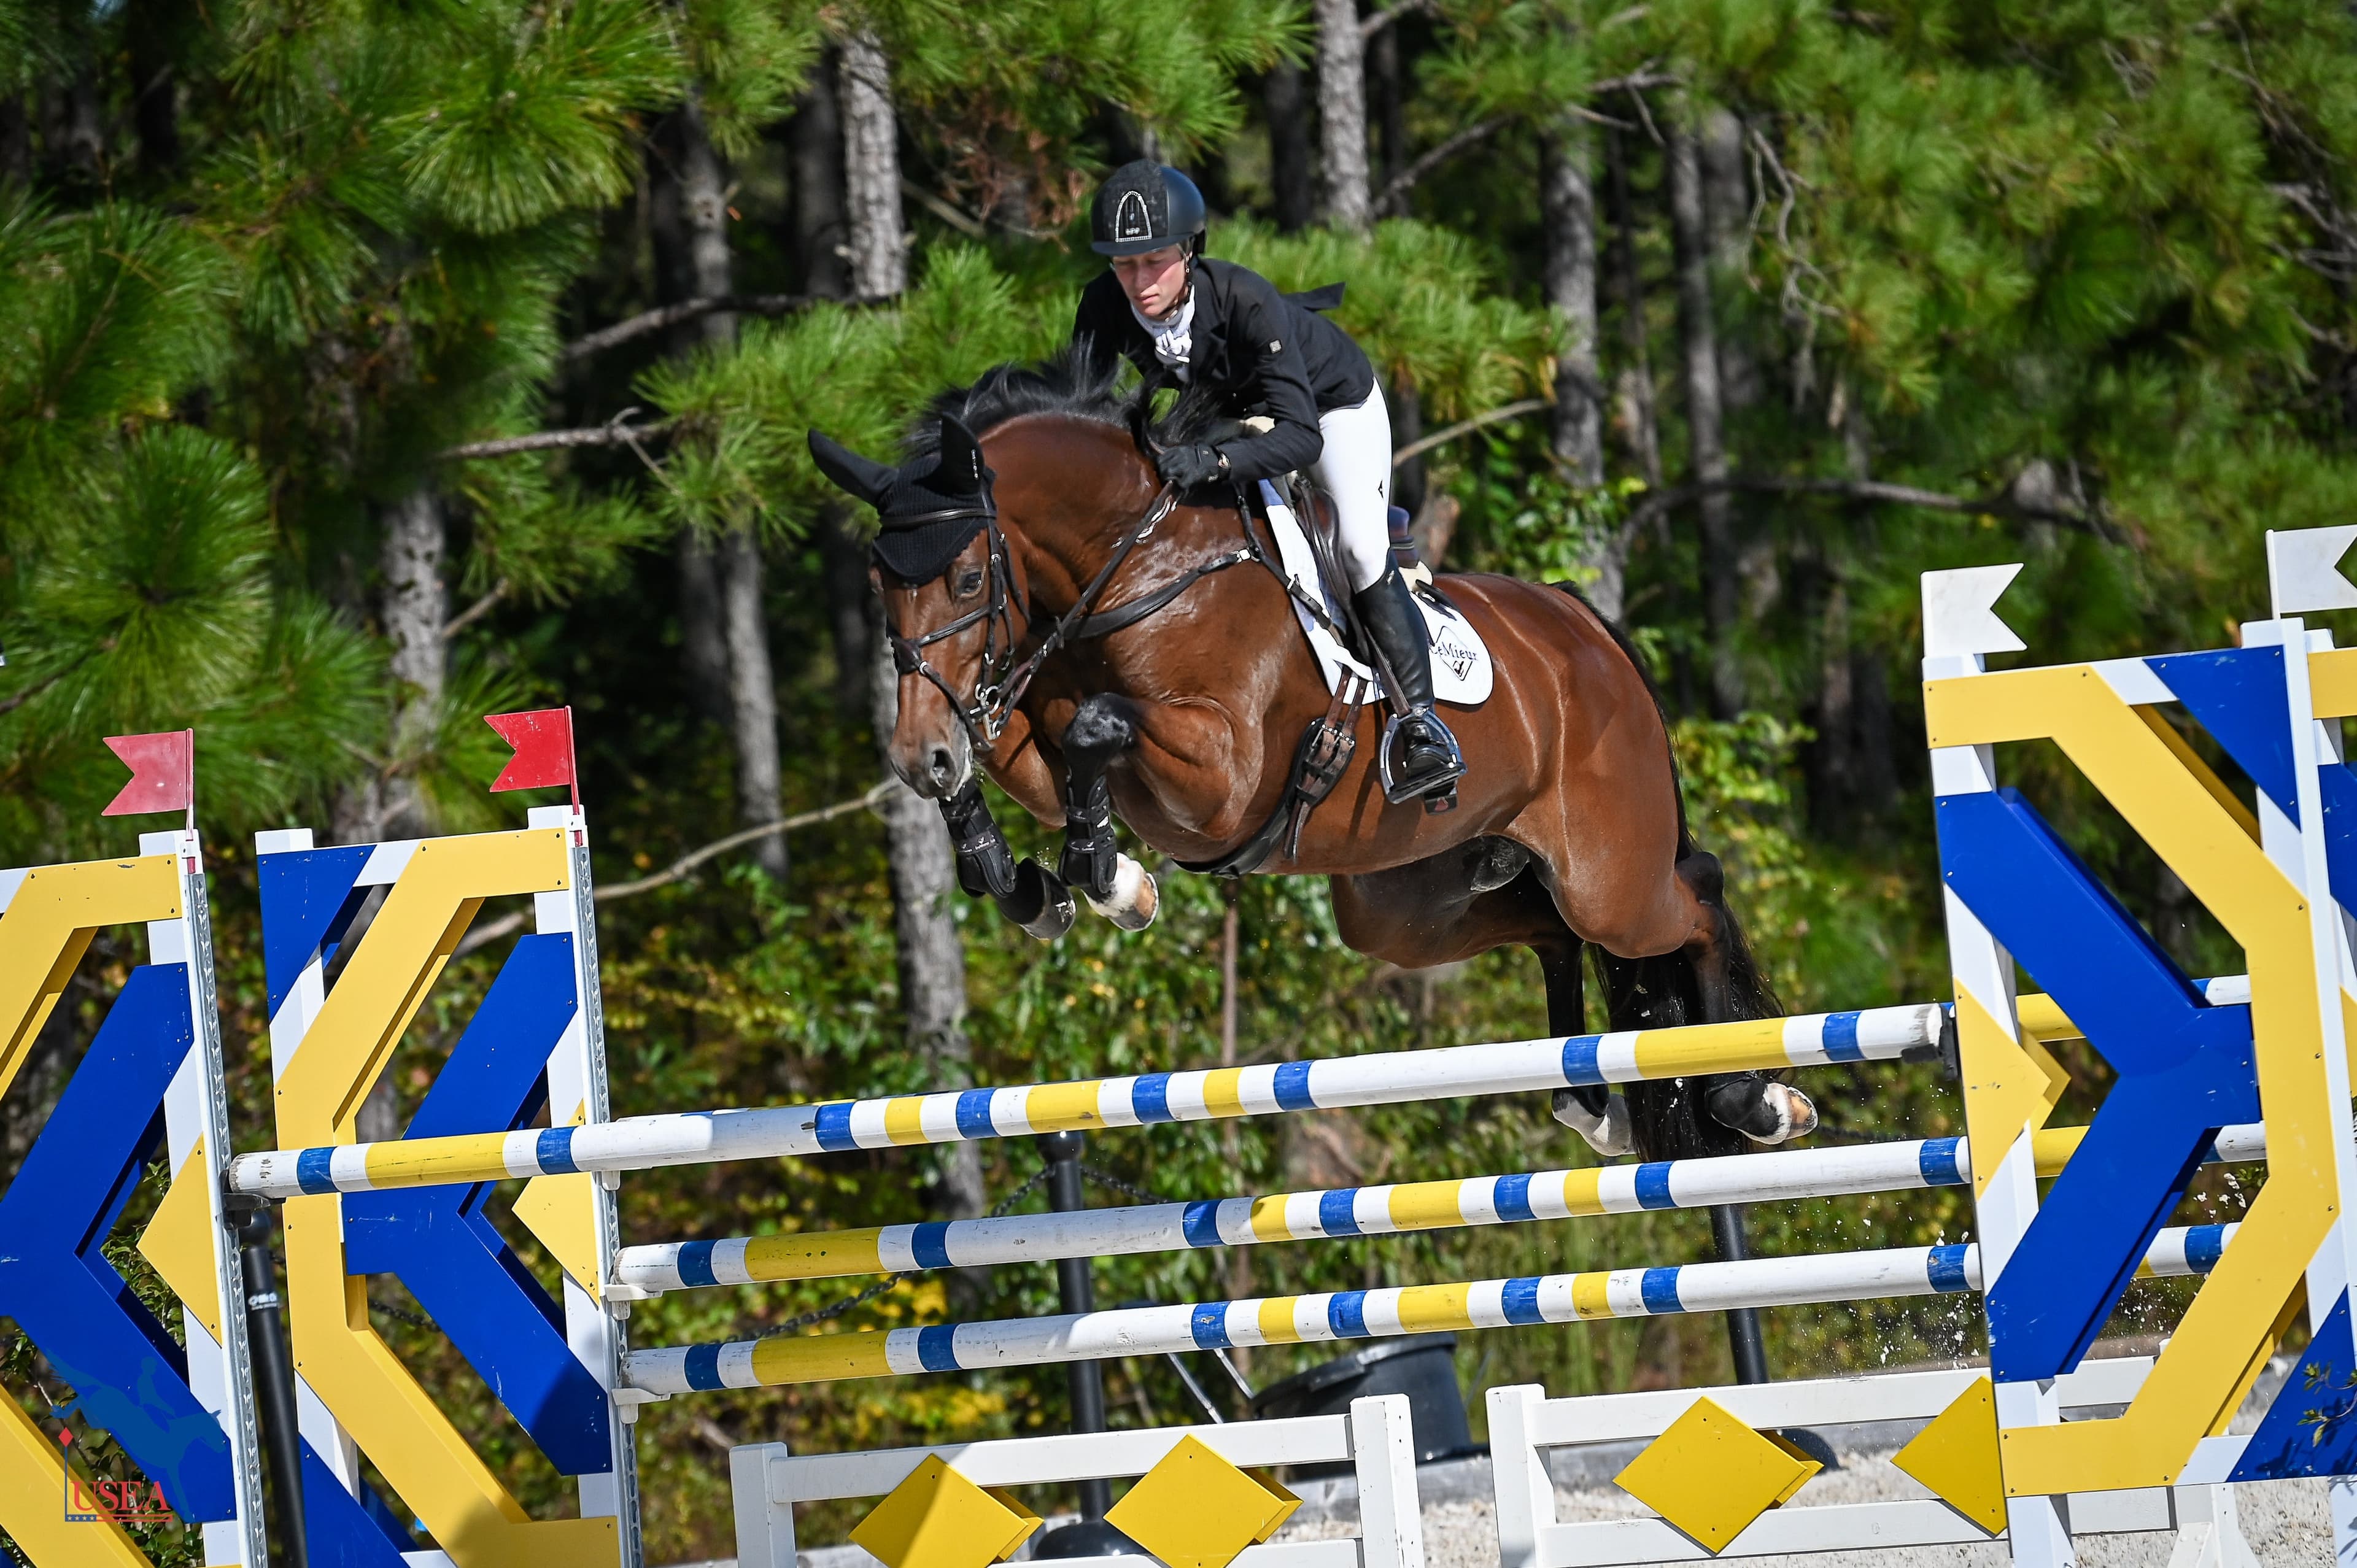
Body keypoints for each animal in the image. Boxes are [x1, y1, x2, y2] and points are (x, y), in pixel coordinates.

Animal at [809, 355, 1815, 1162]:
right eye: (879, 582)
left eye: (968, 578)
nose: (917, 756)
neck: (1140, 566)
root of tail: (1585, 627)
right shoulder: (1040, 741)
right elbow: (1013, 755)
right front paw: (1023, 879)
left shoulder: (1217, 779)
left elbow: (1098, 725)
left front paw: (1110, 881)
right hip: (1406, 906)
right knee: (1554, 932)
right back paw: (1594, 1104)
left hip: (1609, 874)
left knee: (1694, 896)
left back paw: (1756, 1098)